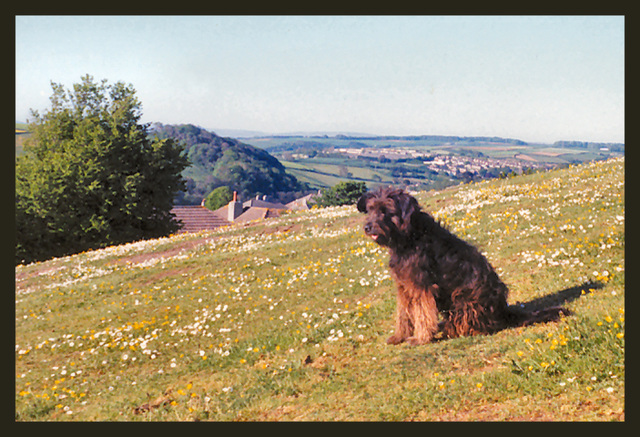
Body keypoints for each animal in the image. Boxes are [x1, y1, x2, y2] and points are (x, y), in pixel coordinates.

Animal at [358, 187, 572, 344]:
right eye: (371, 209)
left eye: (386, 211)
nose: (367, 227)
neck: (409, 235)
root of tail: (503, 311)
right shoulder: (404, 286)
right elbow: (404, 314)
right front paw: (399, 336)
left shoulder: (421, 287)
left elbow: (422, 314)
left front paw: (420, 338)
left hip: (464, 298)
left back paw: (451, 329)